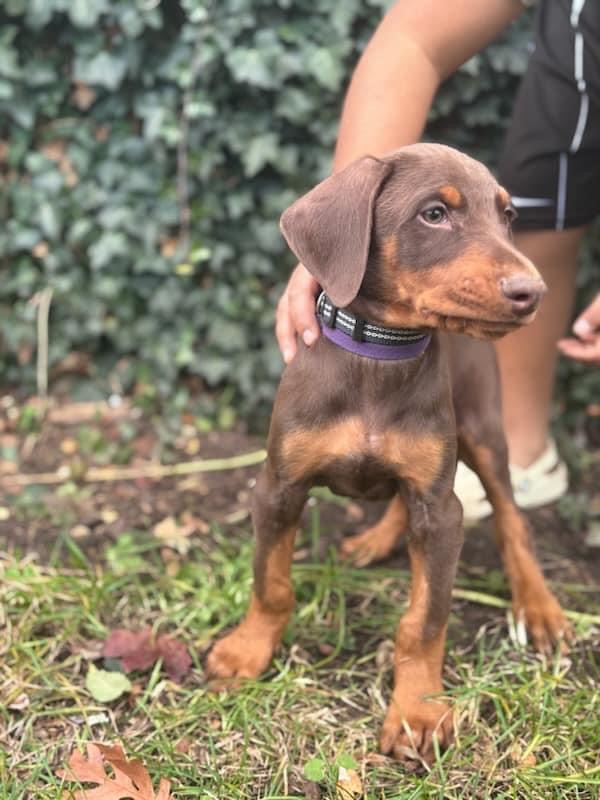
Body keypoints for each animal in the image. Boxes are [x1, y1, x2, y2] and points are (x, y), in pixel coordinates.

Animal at [207, 142, 572, 764]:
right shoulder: (278, 486)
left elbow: (424, 620)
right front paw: (247, 650)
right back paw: (375, 541)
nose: (533, 294)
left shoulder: (441, 509)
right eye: (434, 214)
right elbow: (270, 582)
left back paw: (539, 605)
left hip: (482, 430)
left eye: (507, 216)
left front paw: (417, 710)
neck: (382, 351)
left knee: (511, 520)